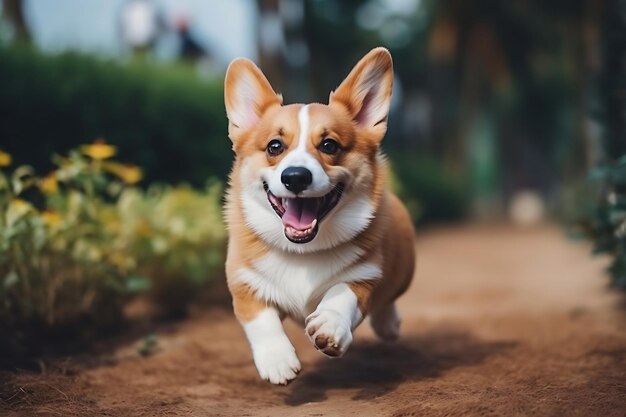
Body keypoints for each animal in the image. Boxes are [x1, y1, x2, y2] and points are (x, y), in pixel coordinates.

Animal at [224, 46, 414, 384]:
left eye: (329, 145)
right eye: (275, 146)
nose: (295, 177)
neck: (303, 252)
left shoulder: (364, 275)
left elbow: (342, 293)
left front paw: (331, 323)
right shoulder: (243, 282)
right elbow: (262, 321)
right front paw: (277, 360)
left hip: (404, 270)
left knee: (387, 300)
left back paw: (387, 325)